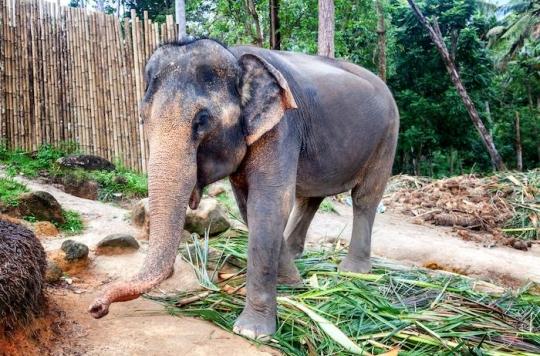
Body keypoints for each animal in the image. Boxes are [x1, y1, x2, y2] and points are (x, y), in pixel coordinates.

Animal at [88, 38, 398, 340]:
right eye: (142, 118)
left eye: (201, 120)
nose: (96, 308)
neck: (234, 55)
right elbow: (248, 206)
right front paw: (291, 284)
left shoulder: (281, 127)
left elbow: (269, 203)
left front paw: (252, 331)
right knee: (312, 198)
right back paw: (299, 257)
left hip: (388, 135)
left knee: (365, 198)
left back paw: (354, 272)